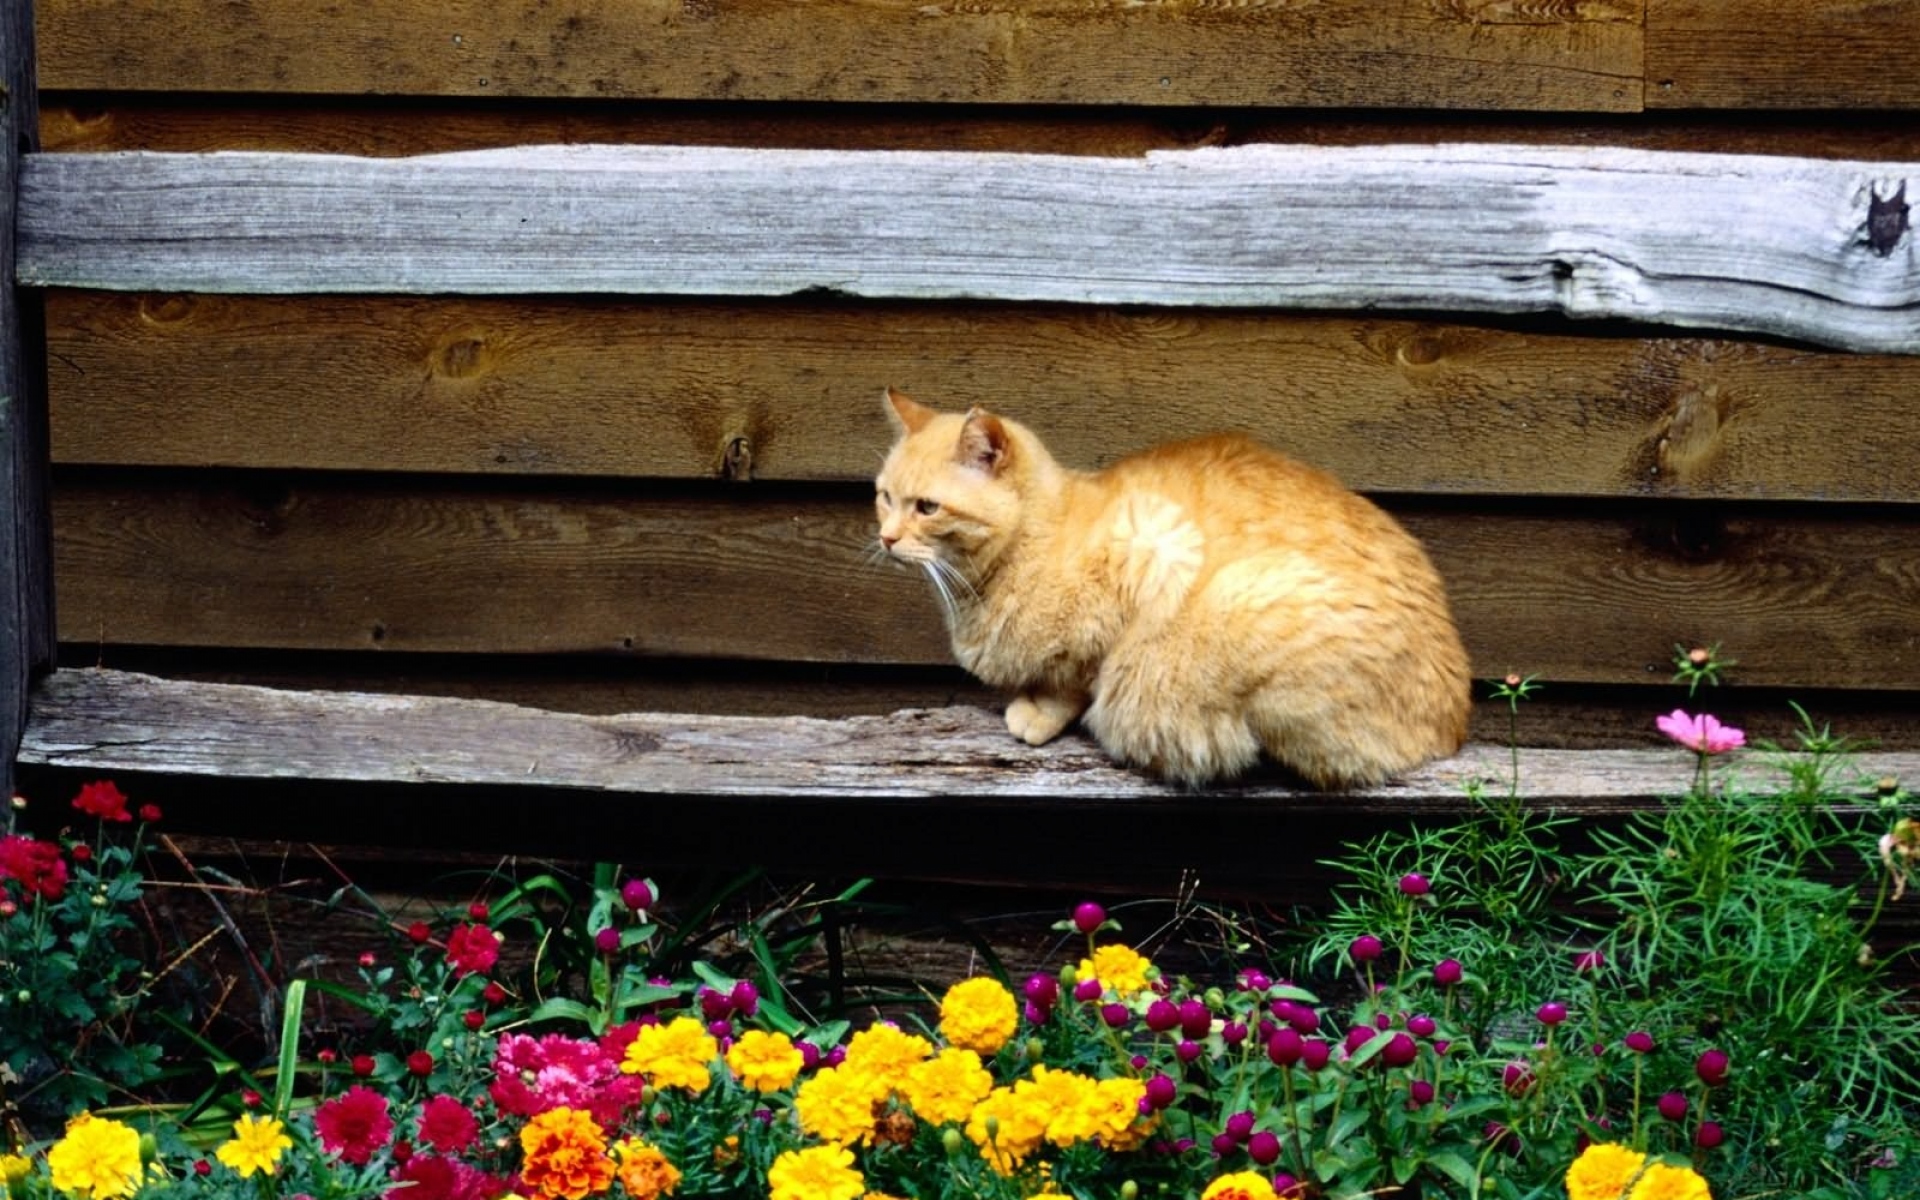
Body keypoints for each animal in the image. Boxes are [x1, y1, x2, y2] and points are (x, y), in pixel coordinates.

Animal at [879, 387, 1466, 791]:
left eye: (926, 507)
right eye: (884, 496)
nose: (885, 538)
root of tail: (1456, 728)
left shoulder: (1154, 551)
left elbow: (1078, 677)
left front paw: (1038, 713)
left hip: (1250, 611)